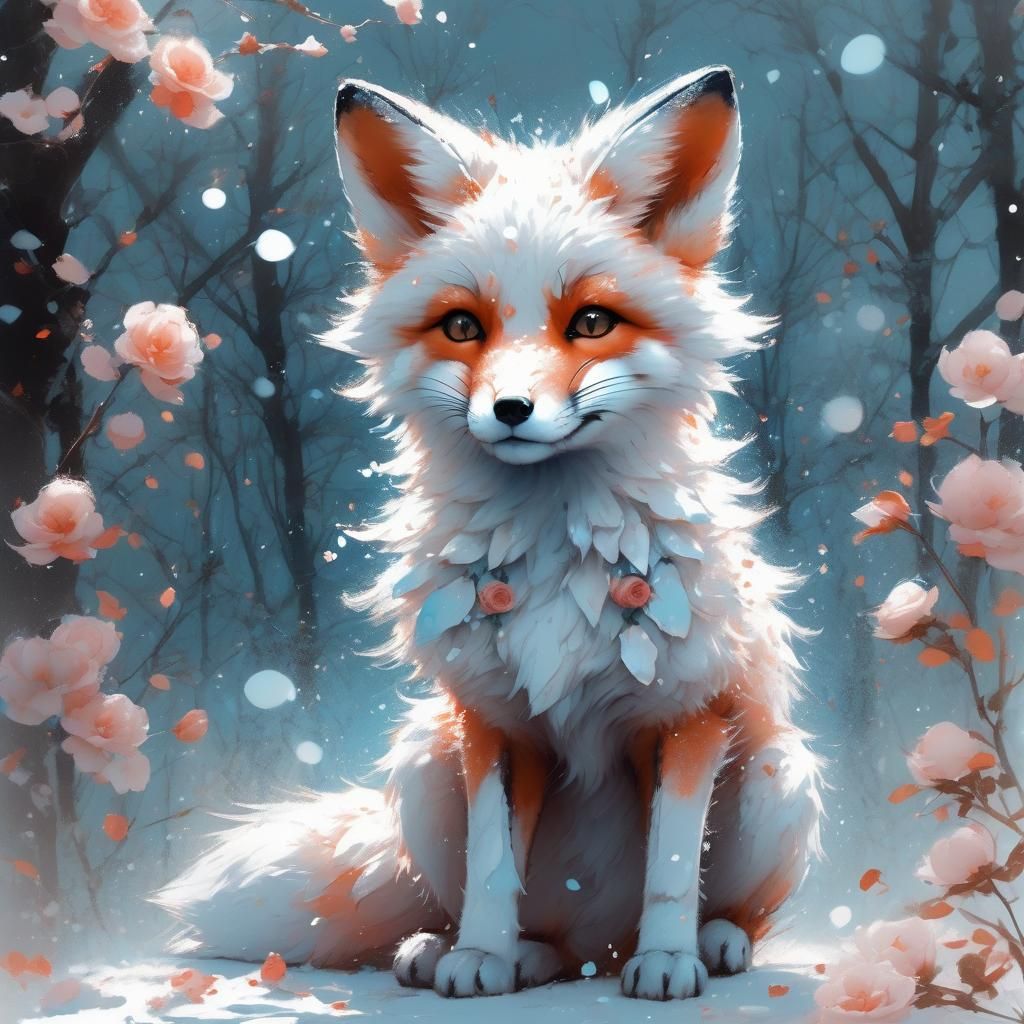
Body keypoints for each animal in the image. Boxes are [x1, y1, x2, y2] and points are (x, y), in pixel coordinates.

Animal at [156, 66, 822, 1002]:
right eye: (463, 326)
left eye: (591, 322)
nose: (509, 410)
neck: (554, 553)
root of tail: (594, 946)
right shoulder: (493, 721)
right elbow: (492, 864)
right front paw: (477, 954)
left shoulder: (689, 711)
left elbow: (670, 866)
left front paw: (667, 960)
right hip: (422, 762)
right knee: (525, 929)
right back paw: (488, 954)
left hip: (776, 775)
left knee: (725, 912)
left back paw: (707, 943)